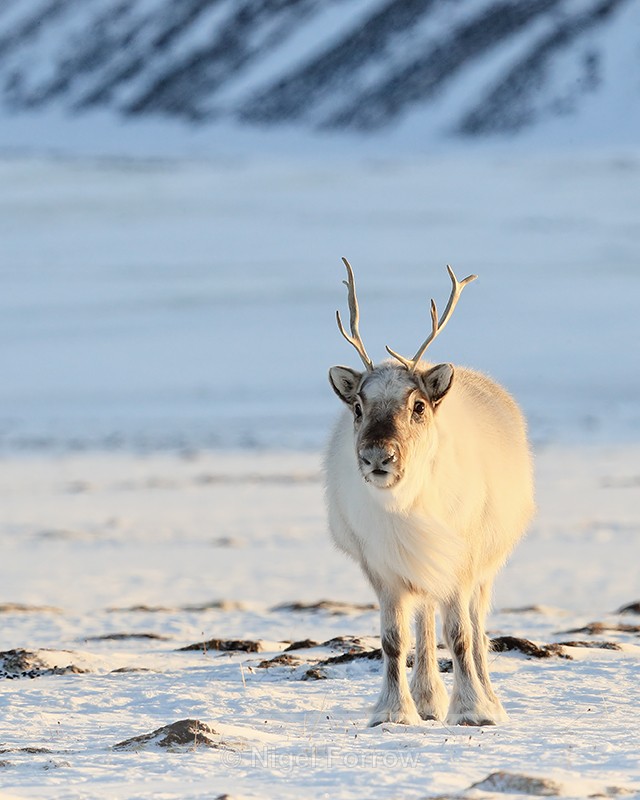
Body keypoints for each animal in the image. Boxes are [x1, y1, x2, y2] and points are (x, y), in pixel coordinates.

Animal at [324, 258, 534, 727]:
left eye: (418, 406)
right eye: (358, 407)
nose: (377, 457)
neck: (407, 508)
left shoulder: (461, 564)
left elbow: (460, 637)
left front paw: (472, 709)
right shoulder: (384, 570)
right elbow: (392, 640)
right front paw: (394, 711)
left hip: (484, 571)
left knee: (477, 629)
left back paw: (490, 698)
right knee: (423, 623)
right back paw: (426, 699)